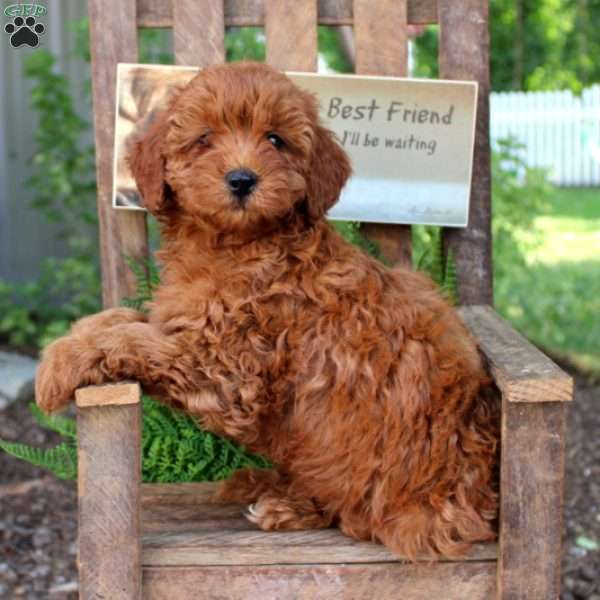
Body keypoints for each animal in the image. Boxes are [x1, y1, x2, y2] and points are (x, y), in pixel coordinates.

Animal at [35, 59, 500, 556]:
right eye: (204, 138)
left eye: (275, 139)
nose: (242, 179)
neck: (237, 244)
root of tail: (476, 503)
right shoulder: (186, 324)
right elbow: (127, 321)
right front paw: (77, 334)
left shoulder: (226, 371)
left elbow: (135, 339)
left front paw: (57, 367)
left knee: (353, 515)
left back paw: (284, 503)